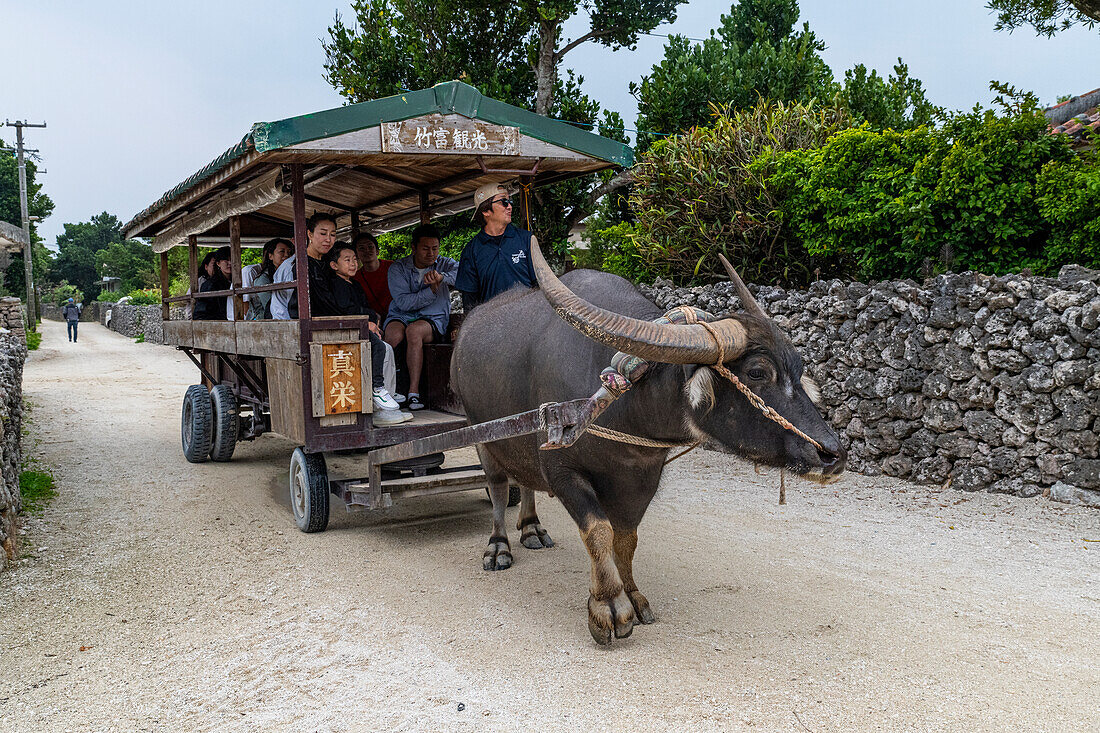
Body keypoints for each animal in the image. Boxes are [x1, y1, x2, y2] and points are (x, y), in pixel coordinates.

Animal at [451, 239, 844, 638]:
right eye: (758, 372)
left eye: (798, 368)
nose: (832, 454)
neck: (622, 401)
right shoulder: (560, 469)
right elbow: (597, 531)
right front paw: (609, 605)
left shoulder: (642, 477)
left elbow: (626, 538)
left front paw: (633, 595)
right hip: (481, 433)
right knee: (499, 486)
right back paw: (499, 547)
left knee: (524, 479)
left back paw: (531, 528)